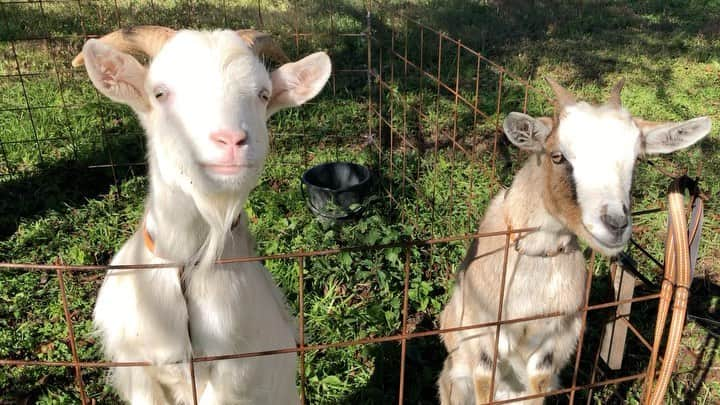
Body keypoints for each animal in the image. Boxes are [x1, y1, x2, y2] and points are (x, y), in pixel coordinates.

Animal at [73, 26, 332, 402]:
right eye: (160, 93)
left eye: (263, 95)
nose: (231, 140)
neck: (185, 263)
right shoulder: (136, 366)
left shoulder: (238, 373)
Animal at [436, 77, 712, 402]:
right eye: (557, 156)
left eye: (635, 161)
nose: (615, 224)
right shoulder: (483, 335)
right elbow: (484, 388)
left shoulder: (554, 341)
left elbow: (537, 387)